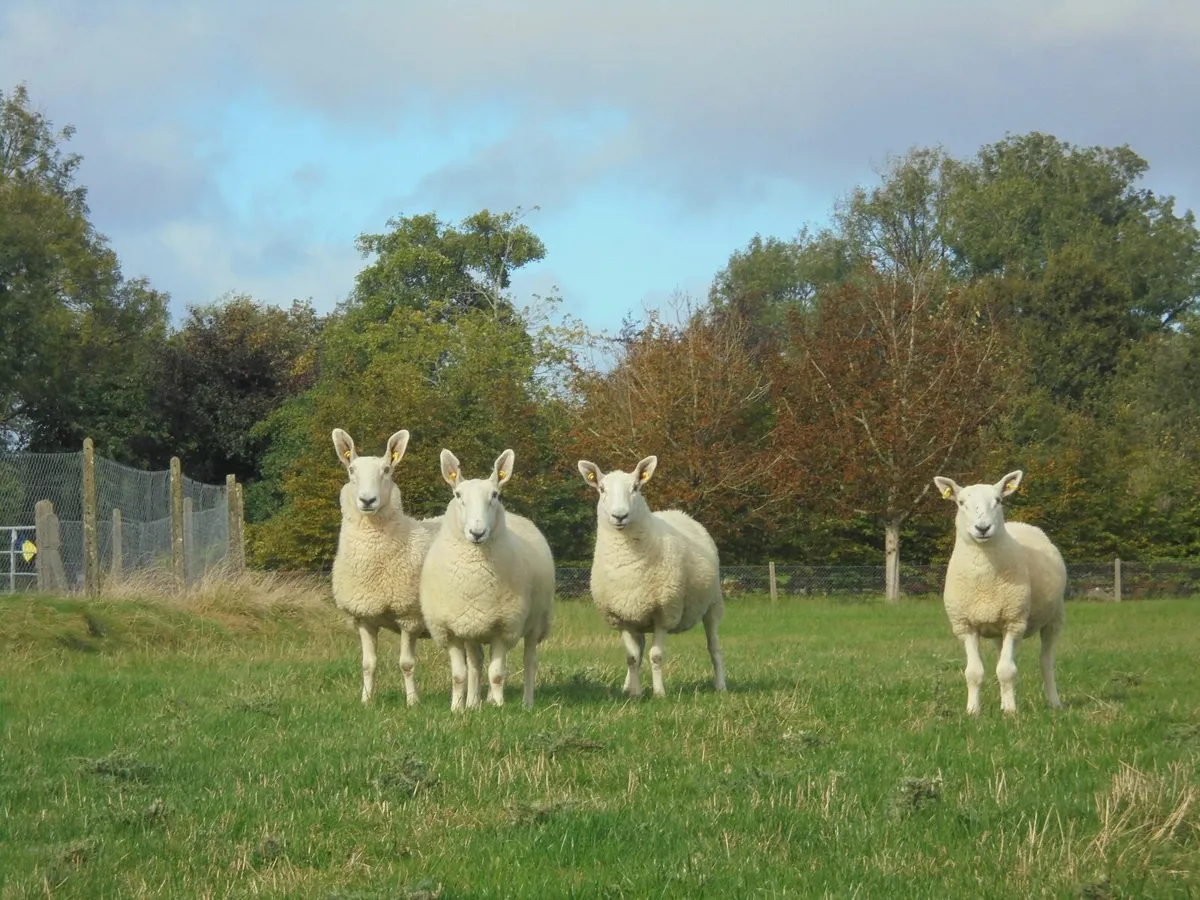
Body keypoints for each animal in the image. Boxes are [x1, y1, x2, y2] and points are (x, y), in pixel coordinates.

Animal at [330, 428, 441, 705]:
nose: (367, 500)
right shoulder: (364, 617)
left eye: (387, 470)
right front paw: (366, 701)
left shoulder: (409, 617)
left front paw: (412, 702)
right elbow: (368, 664)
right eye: (351, 470)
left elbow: (406, 664)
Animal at [419, 448, 555, 711]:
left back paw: (526, 703)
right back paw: (473, 703)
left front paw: (499, 706)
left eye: (495, 495)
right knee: (476, 663)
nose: (477, 532)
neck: (474, 576)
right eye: (457, 495)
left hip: (535, 623)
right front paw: (457, 708)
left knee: (529, 661)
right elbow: (459, 675)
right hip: (473, 627)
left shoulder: (505, 626)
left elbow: (497, 674)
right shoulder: (450, 629)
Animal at [577, 456, 726, 699]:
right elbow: (631, 658)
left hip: (713, 604)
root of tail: (679, 513)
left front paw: (659, 693)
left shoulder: (664, 613)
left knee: (714, 647)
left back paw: (721, 685)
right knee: (638, 650)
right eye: (601, 489)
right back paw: (628, 686)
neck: (626, 562)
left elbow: (656, 656)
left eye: (636, 488)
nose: (620, 516)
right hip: (638, 614)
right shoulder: (622, 616)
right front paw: (635, 693)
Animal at [933, 470, 1067, 716]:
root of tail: (1021, 524)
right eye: (960, 502)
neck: (984, 580)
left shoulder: (1014, 622)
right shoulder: (965, 625)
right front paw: (973, 711)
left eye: (998, 500)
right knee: (1001, 656)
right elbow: (974, 672)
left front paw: (1011, 712)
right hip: (1000, 625)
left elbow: (1006, 671)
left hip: (1054, 617)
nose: (983, 528)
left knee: (1045, 661)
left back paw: (1054, 702)